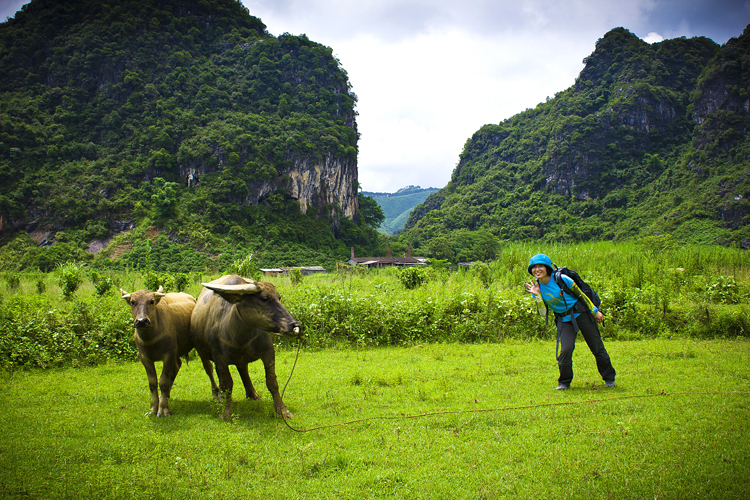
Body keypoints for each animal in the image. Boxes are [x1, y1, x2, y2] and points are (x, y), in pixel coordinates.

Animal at [121, 286, 197, 418]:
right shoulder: (144, 358)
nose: (141, 321)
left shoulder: (169, 355)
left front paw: (163, 409)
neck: (150, 339)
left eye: (151, 301)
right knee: (177, 365)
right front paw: (153, 408)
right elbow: (152, 383)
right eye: (132, 302)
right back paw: (165, 395)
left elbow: (163, 381)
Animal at [189, 276, 302, 420]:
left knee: (243, 370)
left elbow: (272, 382)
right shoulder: (220, 359)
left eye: (279, 297)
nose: (294, 325)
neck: (240, 336)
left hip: (240, 358)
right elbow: (227, 384)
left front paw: (282, 410)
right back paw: (217, 396)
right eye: (264, 298)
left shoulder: (268, 352)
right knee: (210, 370)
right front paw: (226, 412)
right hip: (202, 352)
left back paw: (253, 394)